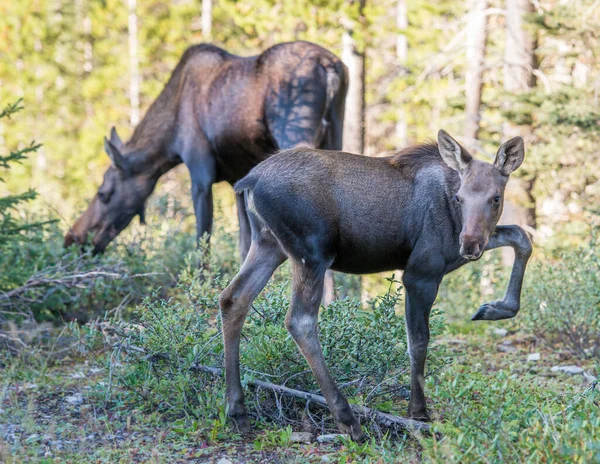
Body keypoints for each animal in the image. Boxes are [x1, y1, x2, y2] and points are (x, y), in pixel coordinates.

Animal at [63, 41, 346, 260]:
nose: (72, 238)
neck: (170, 141)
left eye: (103, 193)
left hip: (295, 134)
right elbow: (243, 246)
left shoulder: (200, 174)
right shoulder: (238, 181)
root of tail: (329, 68)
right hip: (336, 134)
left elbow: (203, 244)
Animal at [218, 130, 532, 438]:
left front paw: (495, 308)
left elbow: (521, 236)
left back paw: (238, 412)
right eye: (459, 198)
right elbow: (418, 340)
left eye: (495, 198)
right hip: (311, 252)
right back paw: (347, 419)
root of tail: (249, 181)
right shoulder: (421, 272)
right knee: (299, 320)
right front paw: (418, 412)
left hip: (269, 244)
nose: (468, 244)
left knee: (233, 298)